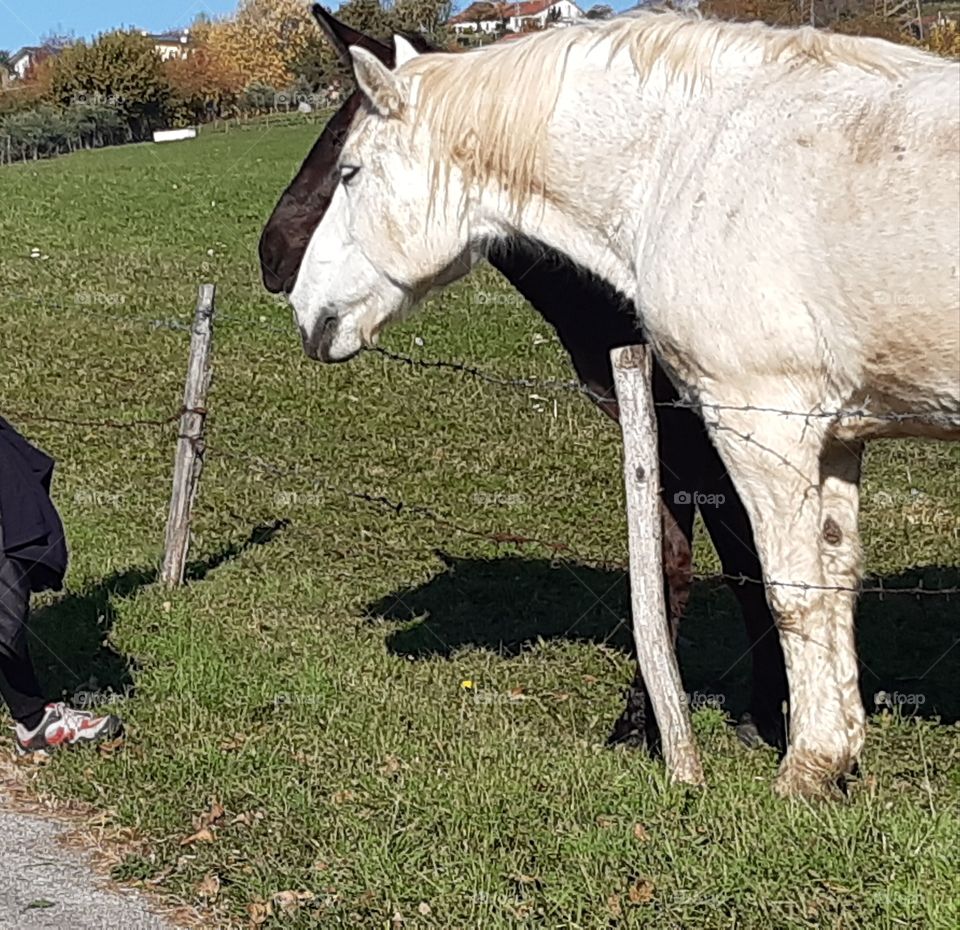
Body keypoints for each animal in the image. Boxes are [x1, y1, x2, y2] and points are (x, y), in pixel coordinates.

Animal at [260, 7, 789, 755]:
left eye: (343, 151)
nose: (271, 255)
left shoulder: (705, 427)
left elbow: (723, 560)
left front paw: (758, 712)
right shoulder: (669, 429)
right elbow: (676, 561)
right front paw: (656, 718)